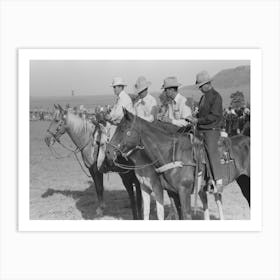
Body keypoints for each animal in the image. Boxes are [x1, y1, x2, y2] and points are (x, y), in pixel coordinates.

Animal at [105, 109, 252, 221]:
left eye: (123, 129)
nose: (108, 151)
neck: (172, 153)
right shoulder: (172, 192)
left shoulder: (183, 192)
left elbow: (185, 216)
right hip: (243, 181)